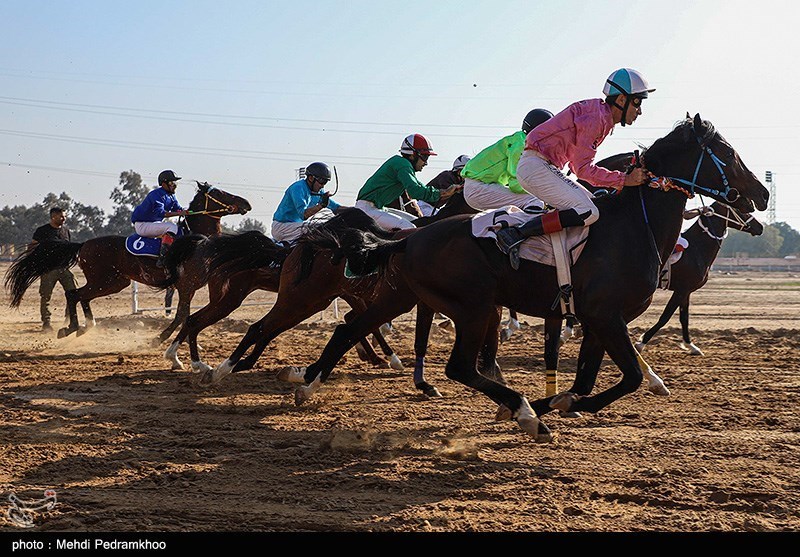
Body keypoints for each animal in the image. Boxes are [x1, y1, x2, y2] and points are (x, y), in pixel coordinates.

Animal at [4, 182, 250, 338]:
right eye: (221, 192)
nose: (246, 203)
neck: (197, 242)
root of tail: (83, 244)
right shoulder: (185, 285)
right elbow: (181, 315)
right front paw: (159, 338)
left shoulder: (190, 286)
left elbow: (185, 314)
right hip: (105, 280)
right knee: (74, 294)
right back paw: (70, 328)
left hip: (114, 282)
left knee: (82, 296)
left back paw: (85, 326)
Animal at [636, 202, 764, 354]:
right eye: (740, 209)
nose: (760, 227)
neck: (696, 248)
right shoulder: (681, 289)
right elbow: (665, 317)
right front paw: (641, 343)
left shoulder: (686, 291)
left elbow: (684, 318)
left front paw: (691, 345)